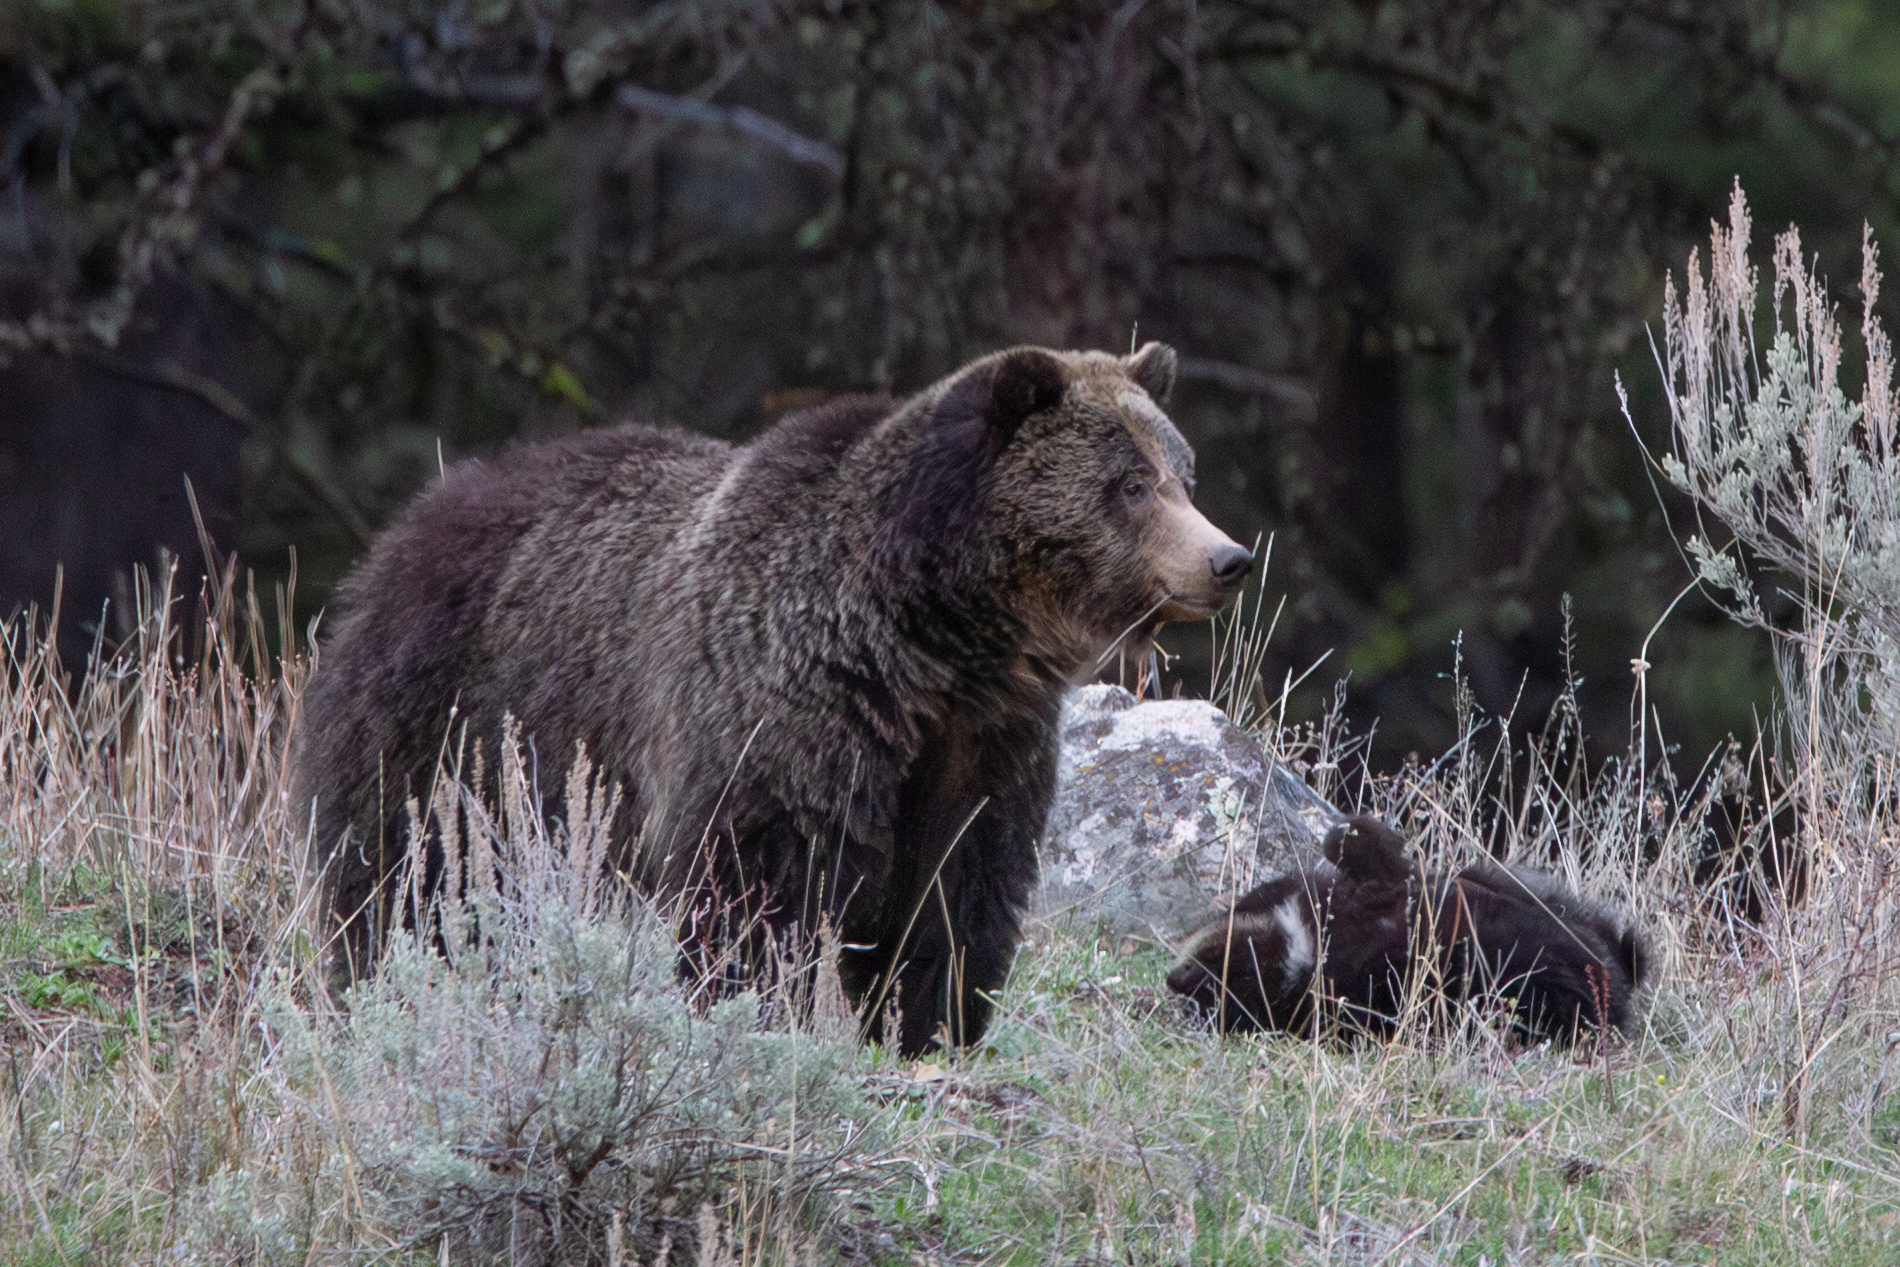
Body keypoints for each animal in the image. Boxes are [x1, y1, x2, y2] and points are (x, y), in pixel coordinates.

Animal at [295, 342, 1254, 1056]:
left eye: (1184, 472)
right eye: (1130, 482)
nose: (1227, 557)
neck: (928, 632)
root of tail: (419, 516)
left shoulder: (979, 737)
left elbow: (958, 884)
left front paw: (927, 1025)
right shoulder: (782, 702)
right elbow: (755, 882)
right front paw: (757, 1009)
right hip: (457, 727)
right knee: (410, 877)